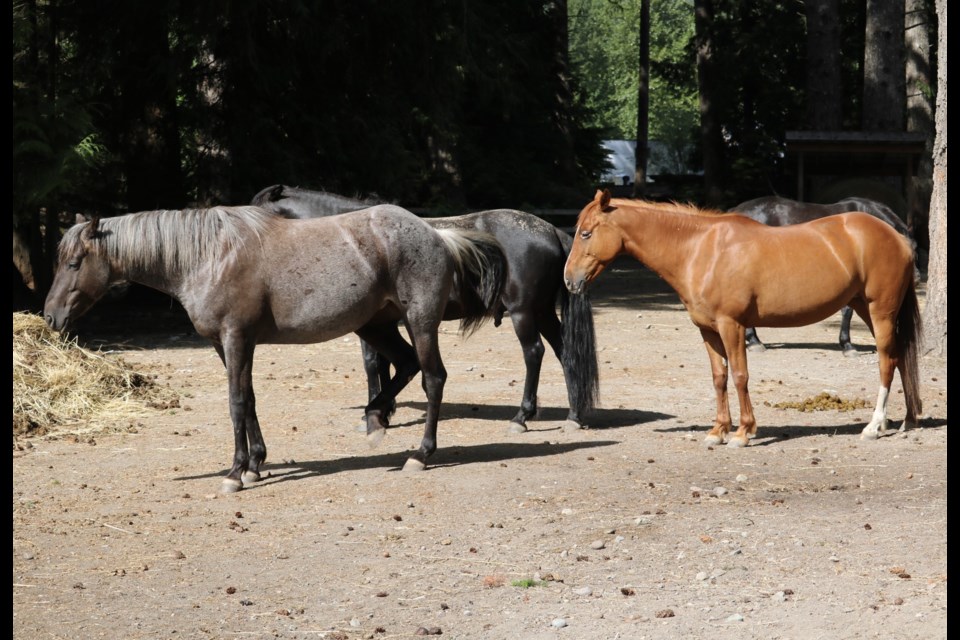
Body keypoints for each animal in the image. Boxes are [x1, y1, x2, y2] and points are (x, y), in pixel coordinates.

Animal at [43, 202, 510, 492]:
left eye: (74, 263)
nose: (50, 318)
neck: (209, 257)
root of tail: (437, 234)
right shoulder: (228, 345)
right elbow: (248, 398)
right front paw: (255, 465)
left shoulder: (235, 337)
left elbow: (235, 402)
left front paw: (235, 472)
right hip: (376, 326)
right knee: (406, 367)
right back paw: (375, 416)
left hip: (420, 322)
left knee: (433, 378)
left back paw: (421, 454)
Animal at [255, 185, 600, 436]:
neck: (354, 237)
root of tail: (551, 230)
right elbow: (385, 363)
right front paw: (384, 411)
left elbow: (372, 364)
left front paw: (376, 414)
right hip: (543, 312)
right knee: (565, 352)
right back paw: (574, 415)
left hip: (524, 312)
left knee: (534, 353)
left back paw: (521, 417)